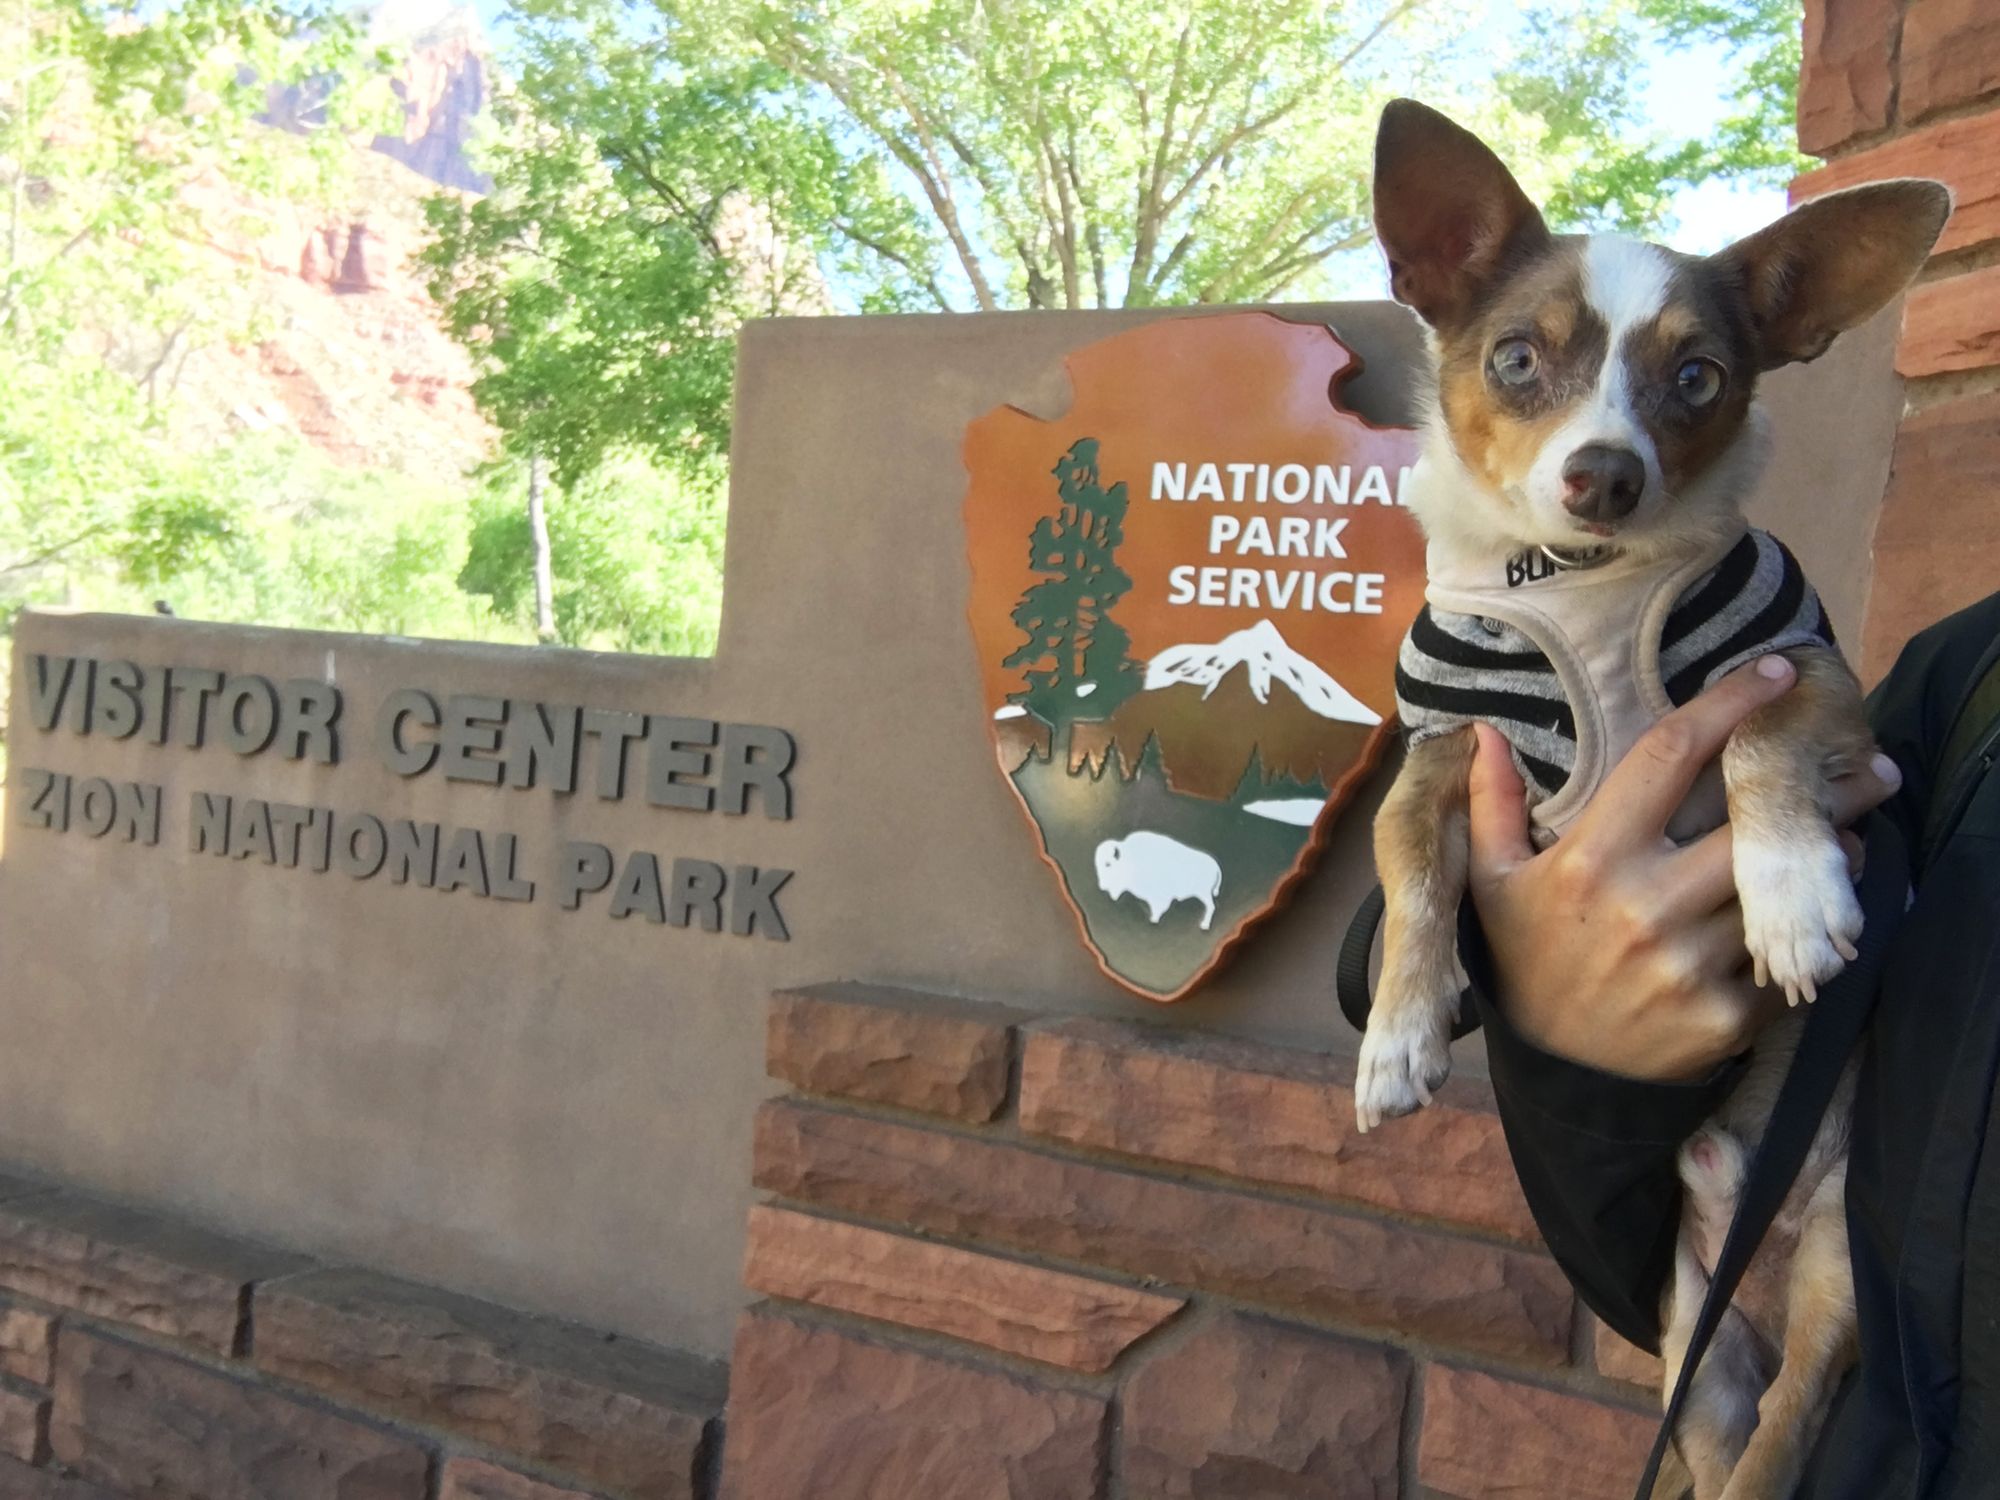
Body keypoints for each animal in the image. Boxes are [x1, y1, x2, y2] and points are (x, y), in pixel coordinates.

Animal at [1352, 100, 1944, 1496]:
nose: (1603, 475)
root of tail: (1751, 1215)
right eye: (1516, 359)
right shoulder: (1440, 745)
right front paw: (1397, 1031)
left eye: (1697, 381)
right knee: (1719, 1425)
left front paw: (1788, 898)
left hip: (1837, 1259)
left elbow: (1751, 743)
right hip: (1691, 1337)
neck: (1580, 586)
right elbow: (1409, 867)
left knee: (1785, 1425)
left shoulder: (1805, 674)